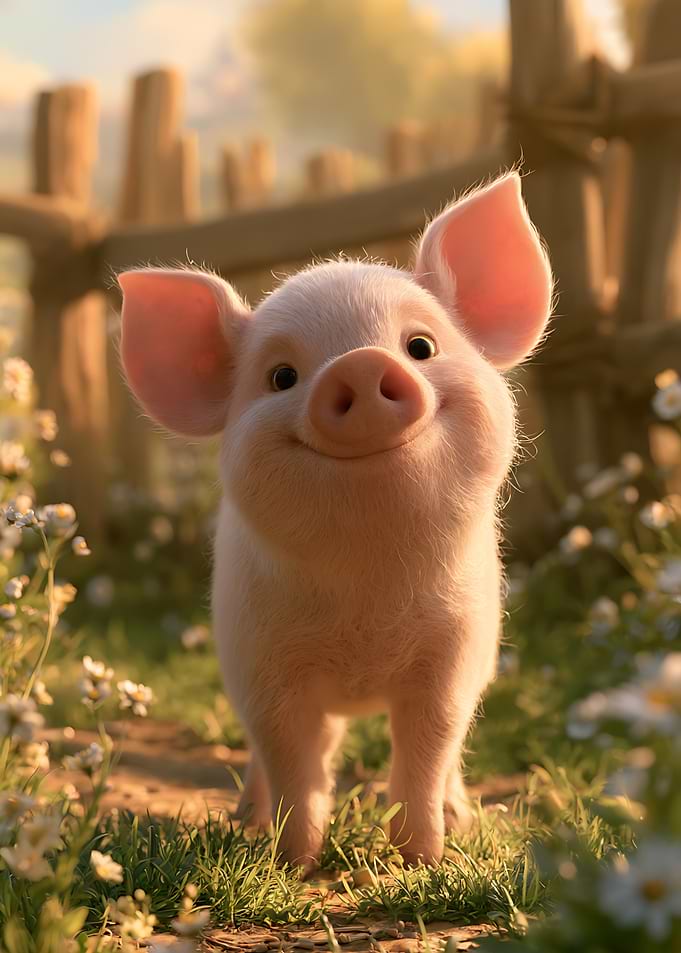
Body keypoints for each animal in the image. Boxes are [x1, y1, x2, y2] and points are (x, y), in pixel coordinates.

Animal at [118, 172, 553, 869]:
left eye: (421, 346)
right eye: (282, 377)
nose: (360, 363)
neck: (367, 600)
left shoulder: (454, 654)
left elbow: (430, 743)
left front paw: (421, 859)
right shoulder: (260, 664)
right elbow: (289, 753)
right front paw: (292, 862)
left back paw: (458, 818)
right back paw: (248, 820)